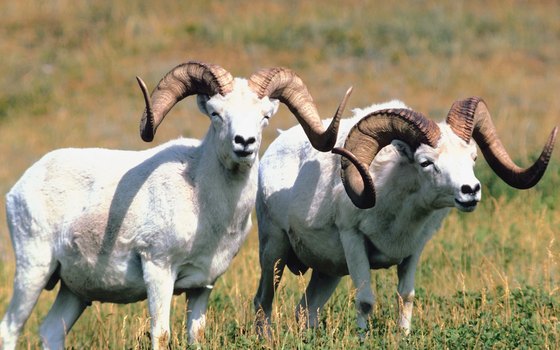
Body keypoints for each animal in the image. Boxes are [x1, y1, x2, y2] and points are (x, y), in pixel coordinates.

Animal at [0, 60, 350, 350]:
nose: (244, 144)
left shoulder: (202, 286)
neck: (203, 207)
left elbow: (195, 335)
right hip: (34, 271)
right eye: (216, 114)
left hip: (73, 291)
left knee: (51, 332)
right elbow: (161, 334)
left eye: (264, 117)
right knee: (10, 330)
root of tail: (21, 186)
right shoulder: (159, 271)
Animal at [254, 98, 556, 336]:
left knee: (306, 311)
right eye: (426, 162)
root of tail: (269, 155)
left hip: (327, 272)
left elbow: (406, 297)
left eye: (472, 157)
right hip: (274, 255)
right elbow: (365, 301)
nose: (470, 191)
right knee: (263, 302)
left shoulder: (413, 250)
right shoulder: (354, 241)